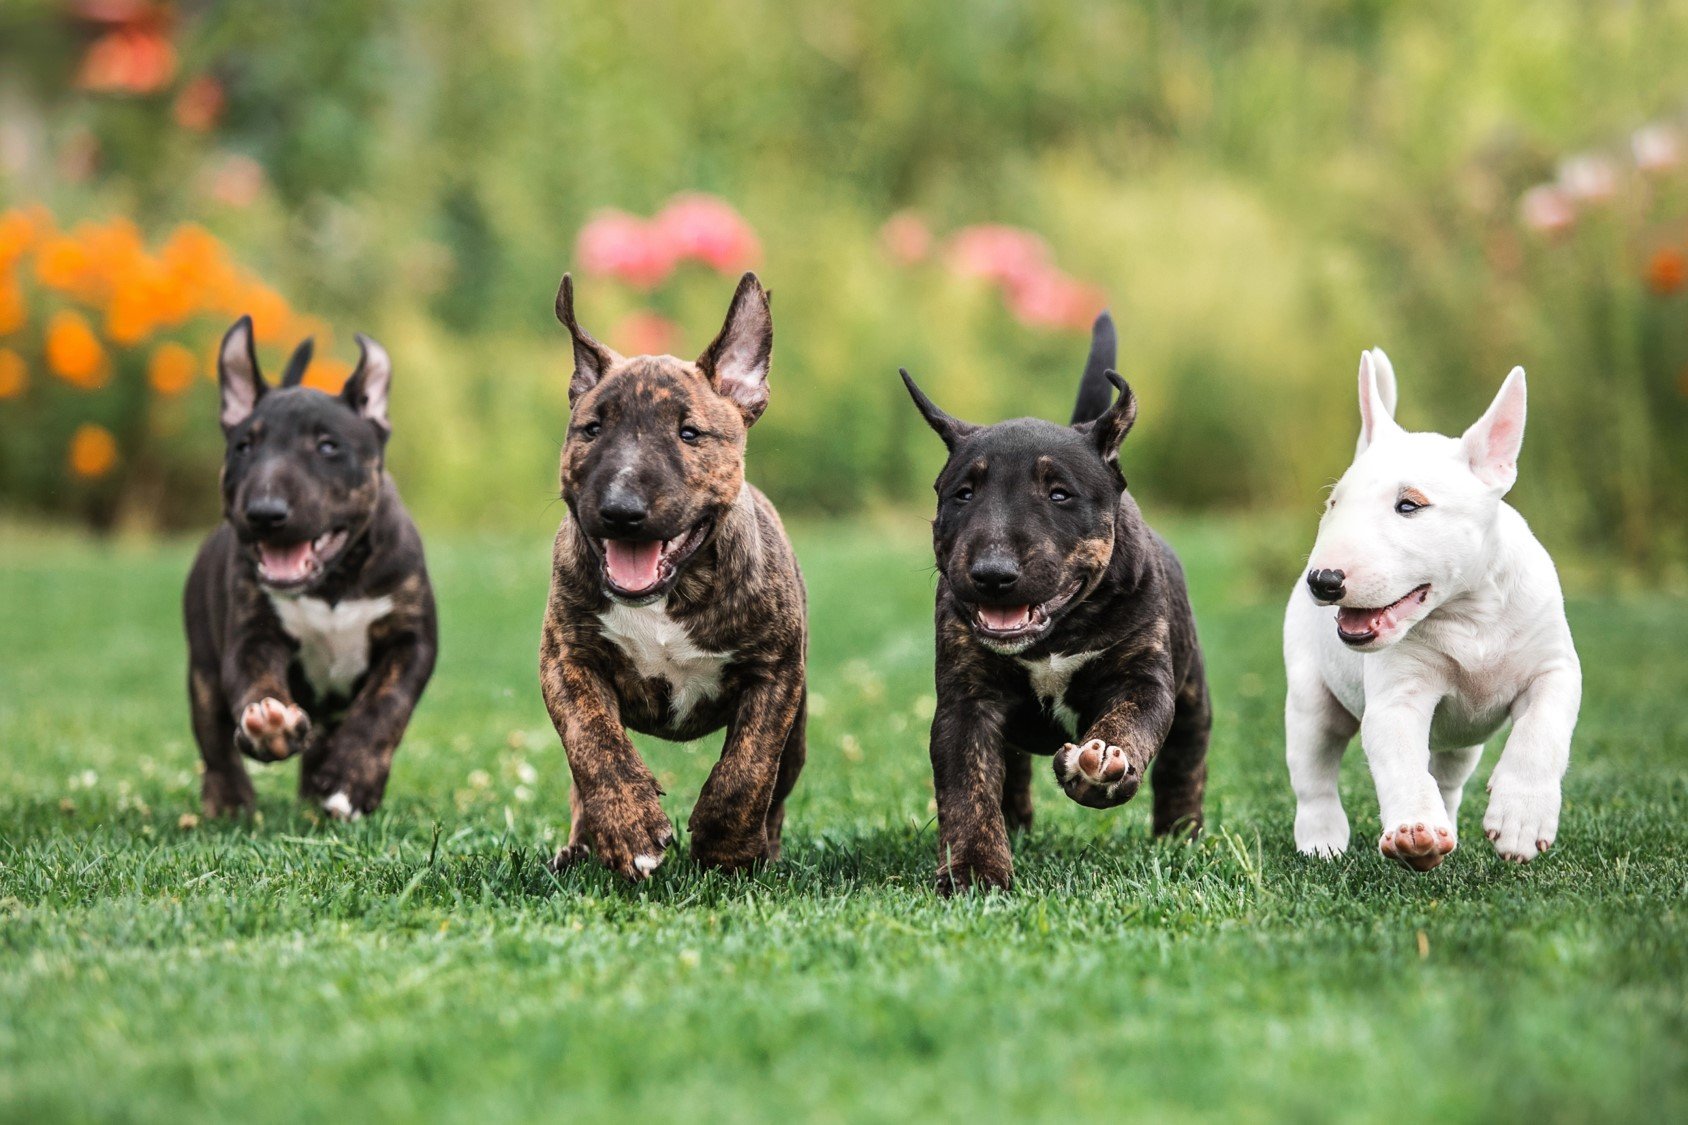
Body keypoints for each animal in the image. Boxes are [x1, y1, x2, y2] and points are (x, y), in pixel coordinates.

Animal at [183, 312, 435, 814]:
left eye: (327, 447)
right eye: (244, 447)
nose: (265, 512)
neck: (331, 583)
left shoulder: (412, 639)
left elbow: (385, 707)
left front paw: (351, 780)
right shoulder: (253, 634)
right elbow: (256, 680)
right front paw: (270, 725)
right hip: (201, 665)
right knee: (213, 739)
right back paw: (231, 800)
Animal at [540, 270, 803, 878]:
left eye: (690, 434)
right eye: (591, 429)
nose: (620, 509)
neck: (667, 596)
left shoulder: (776, 672)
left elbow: (748, 768)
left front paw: (726, 845)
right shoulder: (566, 661)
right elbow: (595, 748)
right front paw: (630, 828)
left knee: (777, 788)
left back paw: (767, 849)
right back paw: (579, 846)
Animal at [904, 309, 1208, 891]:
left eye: (1059, 494)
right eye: (963, 494)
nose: (992, 574)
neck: (1054, 636)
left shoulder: (1142, 677)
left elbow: (1129, 724)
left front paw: (1101, 768)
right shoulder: (966, 700)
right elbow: (968, 788)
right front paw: (975, 872)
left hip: (1193, 693)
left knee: (1186, 760)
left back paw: (1180, 833)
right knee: (1010, 774)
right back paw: (1016, 826)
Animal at [1282, 347, 1573, 864]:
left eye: (1409, 506)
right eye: (1334, 505)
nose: (1324, 580)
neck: (1470, 616)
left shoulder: (1555, 667)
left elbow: (1542, 731)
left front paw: (1520, 820)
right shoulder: (1398, 695)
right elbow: (1400, 762)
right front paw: (1413, 832)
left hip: (1462, 743)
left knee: (1449, 778)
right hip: (1311, 697)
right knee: (1314, 774)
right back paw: (1321, 841)